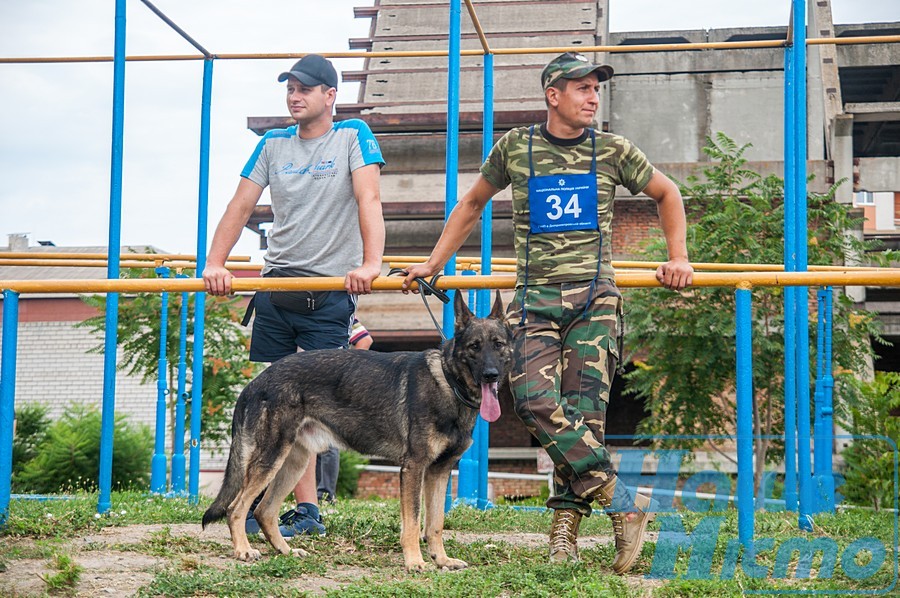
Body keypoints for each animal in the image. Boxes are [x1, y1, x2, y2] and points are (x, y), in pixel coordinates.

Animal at [205, 292, 512, 576]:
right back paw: (243, 550)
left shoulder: (439, 472)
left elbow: (435, 523)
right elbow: (414, 522)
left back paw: (287, 551)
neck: (448, 382)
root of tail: (257, 381)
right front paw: (415, 561)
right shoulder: (413, 469)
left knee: (264, 511)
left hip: (293, 463)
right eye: (474, 347)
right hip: (271, 460)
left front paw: (442, 559)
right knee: (236, 508)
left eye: (498, 345)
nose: (491, 375)